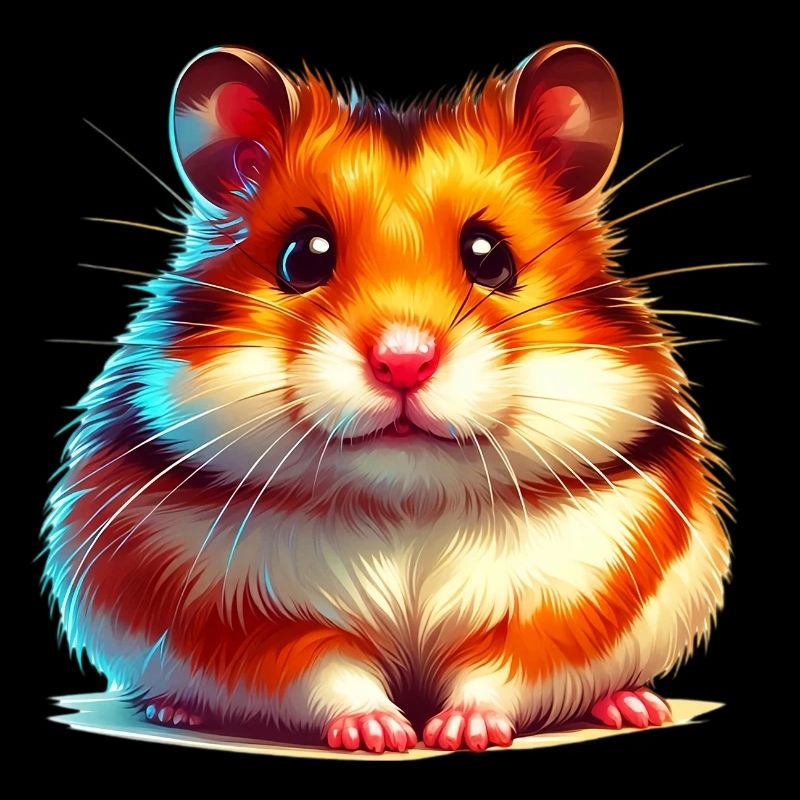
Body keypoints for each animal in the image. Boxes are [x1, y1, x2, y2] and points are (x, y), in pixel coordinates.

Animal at [43, 43, 731, 753]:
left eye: (490, 256)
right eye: (304, 256)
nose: (403, 362)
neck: (405, 501)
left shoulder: (566, 594)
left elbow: (503, 667)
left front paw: (463, 734)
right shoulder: (244, 611)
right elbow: (325, 667)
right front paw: (381, 736)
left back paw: (635, 705)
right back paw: (174, 711)